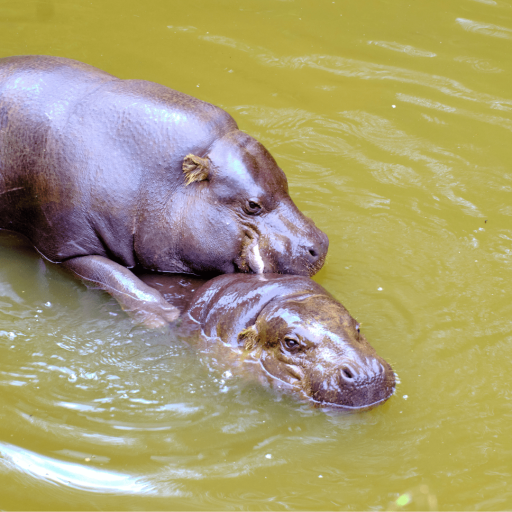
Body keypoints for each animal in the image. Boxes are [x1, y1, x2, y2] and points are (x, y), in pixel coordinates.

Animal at [0, 56, 328, 328]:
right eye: (252, 205)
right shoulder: (67, 245)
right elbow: (114, 275)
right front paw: (165, 316)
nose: (321, 244)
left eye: (284, 178)